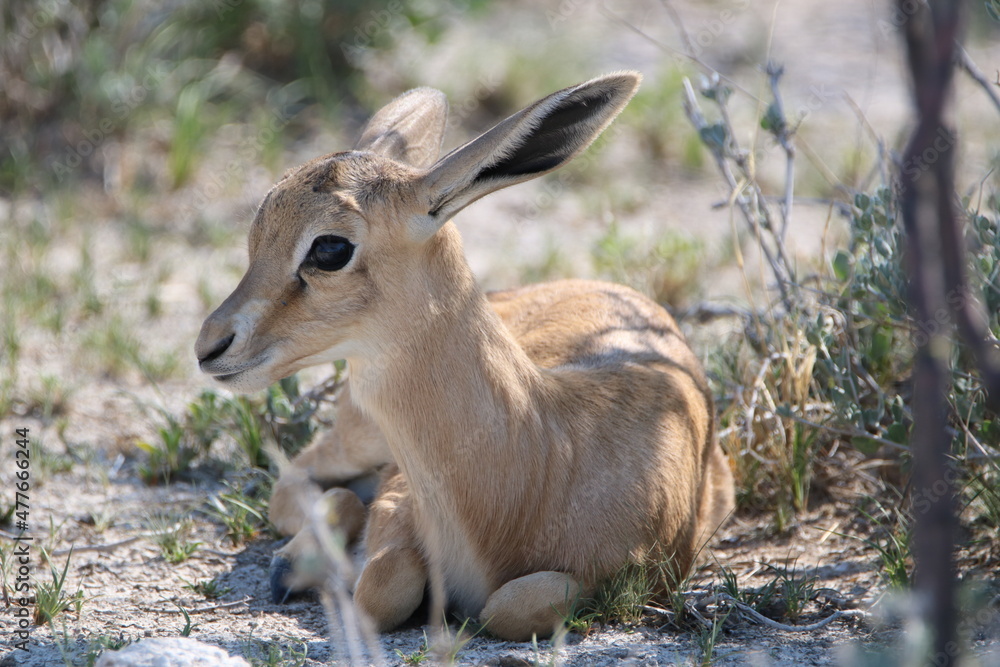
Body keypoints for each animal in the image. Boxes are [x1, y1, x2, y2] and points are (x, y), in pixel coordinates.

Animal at [195, 72, 735, 641]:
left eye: (329, 248)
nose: (210, 346)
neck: (545, 462)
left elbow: (507, 604)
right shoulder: (398, 499)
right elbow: (384, 584)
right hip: (356, 441)